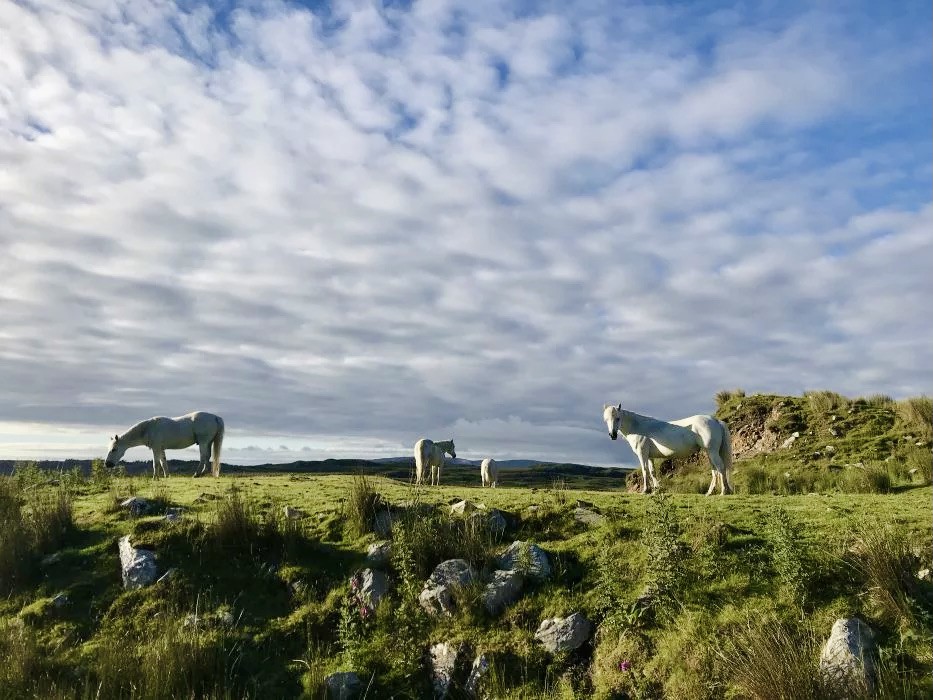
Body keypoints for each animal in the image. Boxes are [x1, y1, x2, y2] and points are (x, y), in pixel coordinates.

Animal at [600, 402, 732, 494]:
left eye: (618, 418)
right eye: (606, 420)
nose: (612, 435)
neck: (637, 426)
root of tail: (716, 420)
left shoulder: (642, 454)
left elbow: (644, 471)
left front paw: (646, 490)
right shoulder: (650, 456)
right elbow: (652, 472)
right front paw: (656, 489)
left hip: (712, 452)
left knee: (720, 468)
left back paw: (724, 491)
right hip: (709, 452)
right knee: (715, 470)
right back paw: (710, 492)